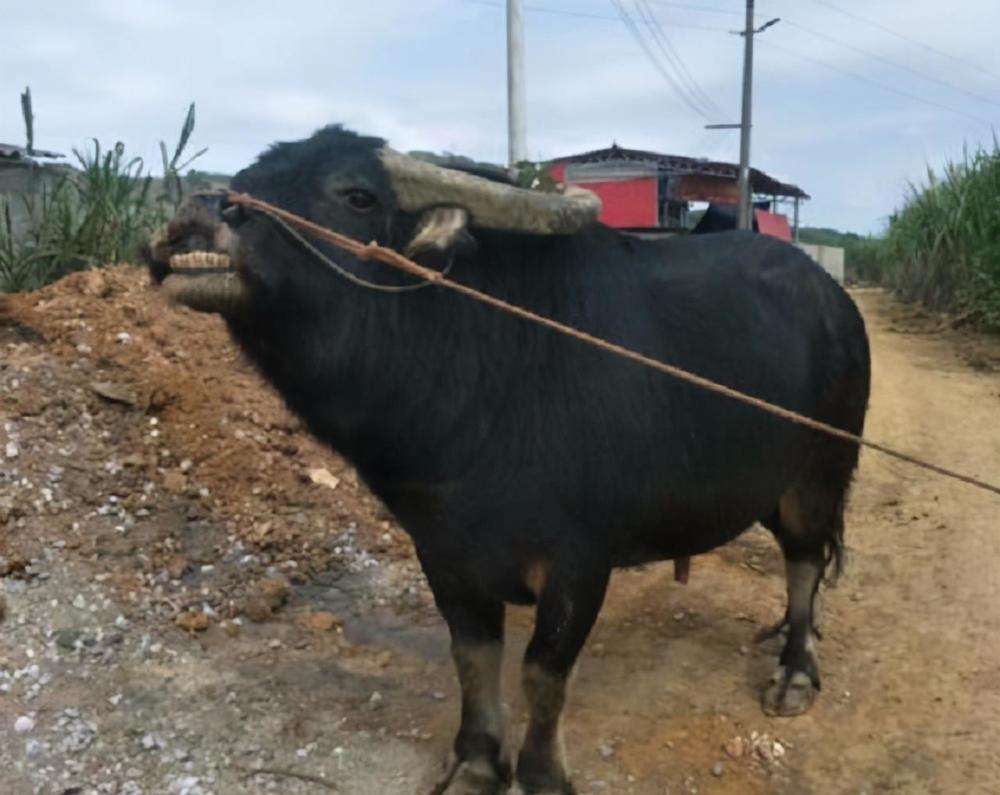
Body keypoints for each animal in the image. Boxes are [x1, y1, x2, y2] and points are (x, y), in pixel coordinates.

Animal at [145, 126, 872, 795]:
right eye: (248, 178)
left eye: (355, 195)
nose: (201, 212)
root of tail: (834, 300)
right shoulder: (443, 551)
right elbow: (474, 657)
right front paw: (475, 761)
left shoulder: (581, 562)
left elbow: (543, 670)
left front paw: (541, 773)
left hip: (821, 473)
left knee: (806, 560)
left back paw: (796, 668)